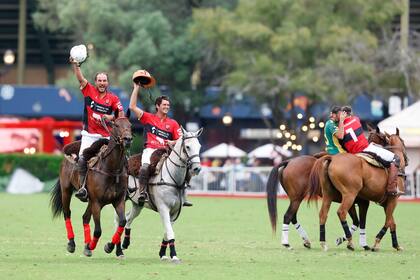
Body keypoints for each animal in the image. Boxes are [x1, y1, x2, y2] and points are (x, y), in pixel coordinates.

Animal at [50, 116, 133, 258]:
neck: (112, 170)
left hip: (91, 201)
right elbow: (98, 230)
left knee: (85, 217)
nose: (127, 139)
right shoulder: (97, 202)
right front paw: (91, 246)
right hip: (66, 190)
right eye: (116, 125)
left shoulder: (118, 201)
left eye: (130, 125)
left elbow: (122, 222)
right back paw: (72, 243)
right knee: (67, 213)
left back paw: (86, 246)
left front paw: (109, 247)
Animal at [115, 127, 203, 262]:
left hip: (138, 204)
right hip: (122, 199)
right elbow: (170, 231)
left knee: (128, 218)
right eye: (187, 147)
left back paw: (125, 243)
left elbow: (167, 232)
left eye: (199, 146)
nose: (197, 168)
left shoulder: (175, 212)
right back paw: (118, 250)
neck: (174, 179)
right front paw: (174, 255)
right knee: (119, 219)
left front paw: (163, 253)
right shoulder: (163, 208)